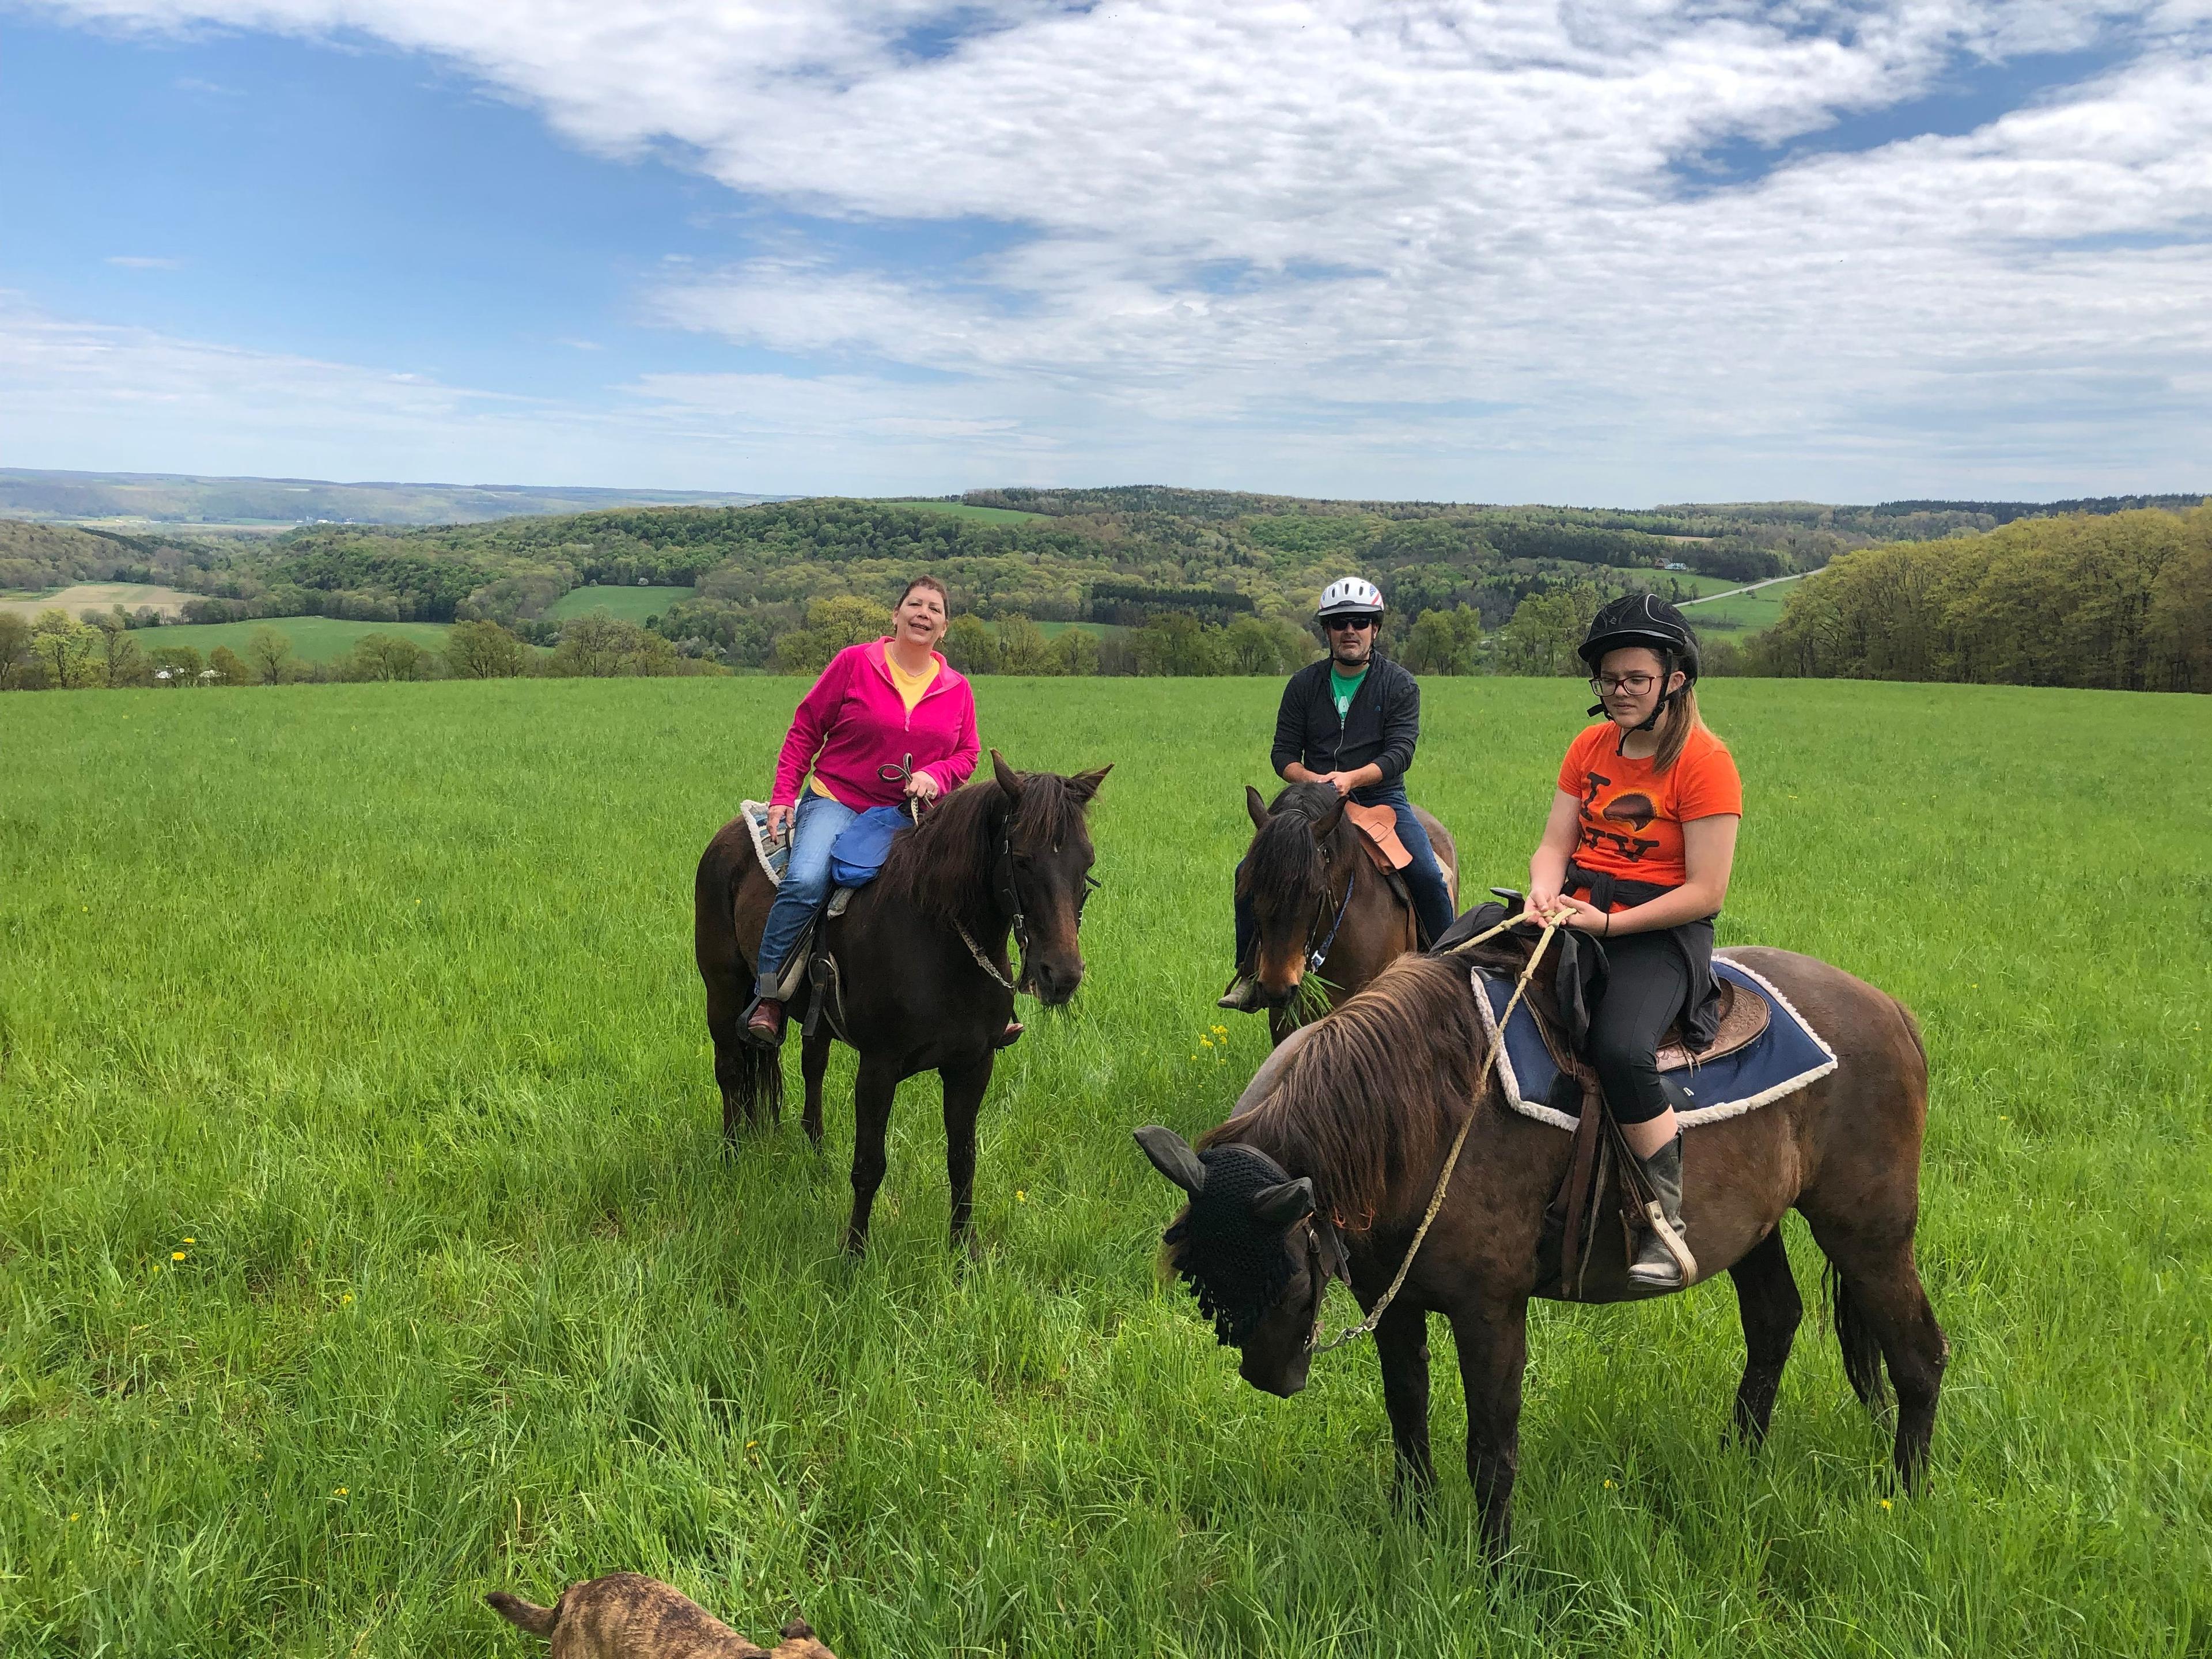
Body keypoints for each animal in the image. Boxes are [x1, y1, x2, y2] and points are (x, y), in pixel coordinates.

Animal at [694, 752, 1106, 1247]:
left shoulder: (973, 1065)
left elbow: (962, 1161)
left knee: (812, 1069)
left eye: (1087, 861)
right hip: (723, 991)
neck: (940, 938)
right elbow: (869, 1166)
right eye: (1023, 859)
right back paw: (732, 1158)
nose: (1061, 975)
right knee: (732, 1073)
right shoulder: (878, 1068)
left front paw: (963, 1252)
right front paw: (853, 1253)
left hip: (816, 1020)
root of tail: (728, 836)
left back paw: (816, 1155)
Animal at [1150, 946, 1946, 1557]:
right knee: (1775, 1321)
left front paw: (1495, 1573)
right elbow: (1407, 1413)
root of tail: (1891, 1012)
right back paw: (1739, 1460)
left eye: (1285, 1284)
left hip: (1870, 1235)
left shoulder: (1490, 1313)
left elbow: (1492, 1449)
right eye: (1200, 1284)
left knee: (1919, 1354)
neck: (1429, 1112)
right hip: (1760, 1228)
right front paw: (1412, 1526)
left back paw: (1904, 1498)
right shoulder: (1396, 1302)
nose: (1267, 1378)